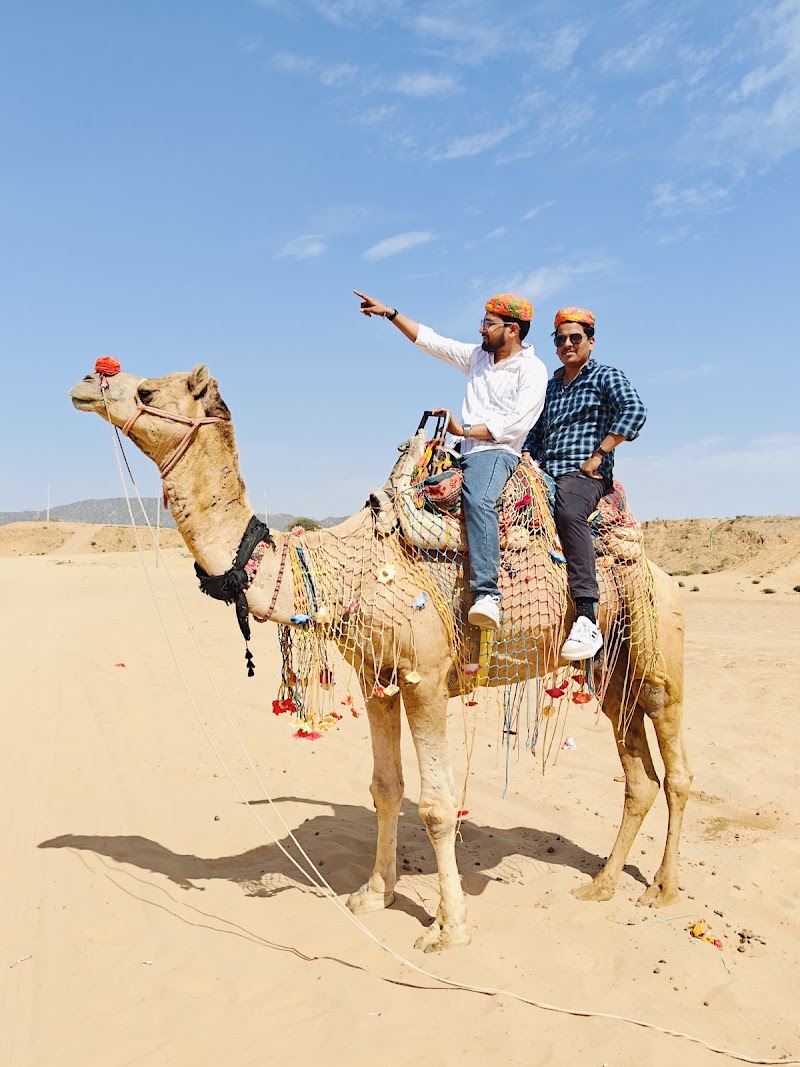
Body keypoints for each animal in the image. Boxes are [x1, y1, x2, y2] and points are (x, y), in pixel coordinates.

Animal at [70, 363, 692, 952]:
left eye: (148, 391)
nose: (87, 382)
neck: (345, 569)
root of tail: (657, 568)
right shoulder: (377, 677)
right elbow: (385, 789)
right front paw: (373, 894)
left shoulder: (427, 679)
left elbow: (437, 806)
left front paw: (449, 928)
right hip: (612, 672)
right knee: (638, 776)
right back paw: (601, 885)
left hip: (659, 648)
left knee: (677, 768)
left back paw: (662, 891)